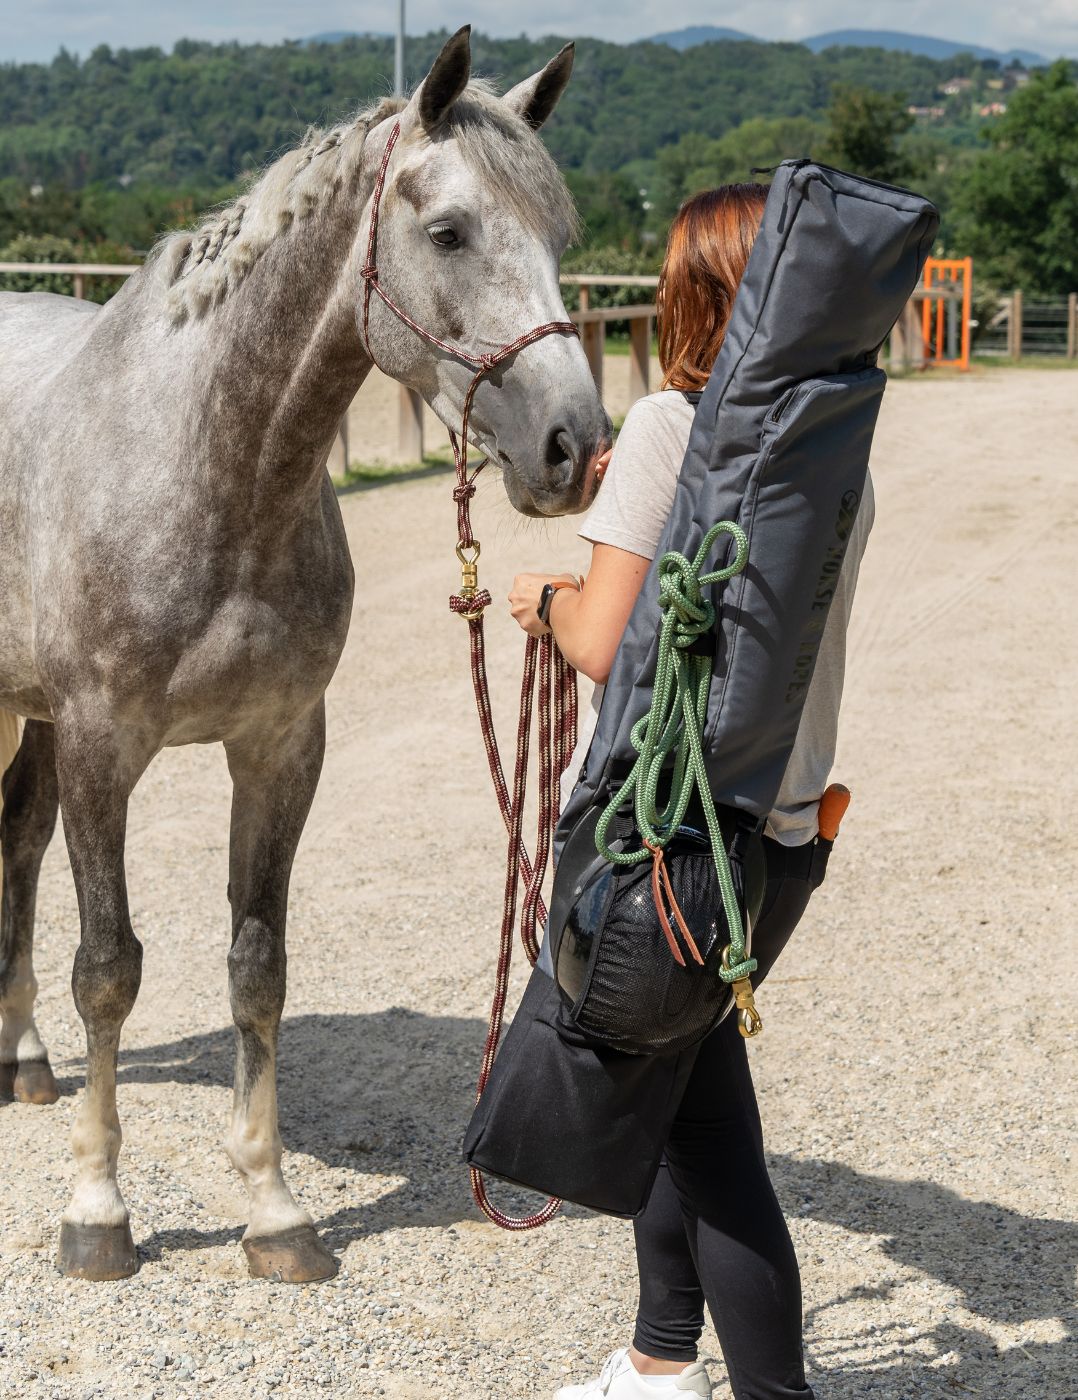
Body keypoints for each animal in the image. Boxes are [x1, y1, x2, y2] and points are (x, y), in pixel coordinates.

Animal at [0, 26, 609, 1283]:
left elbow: (257, 967)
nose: (572, 446)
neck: (209, 460)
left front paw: (274, 1211)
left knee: (16, 841)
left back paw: (23, 1059)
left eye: (561, 235)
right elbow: (109, 968)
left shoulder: (280, 746)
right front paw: (97, 1212)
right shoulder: (101, 744)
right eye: (449, 231)